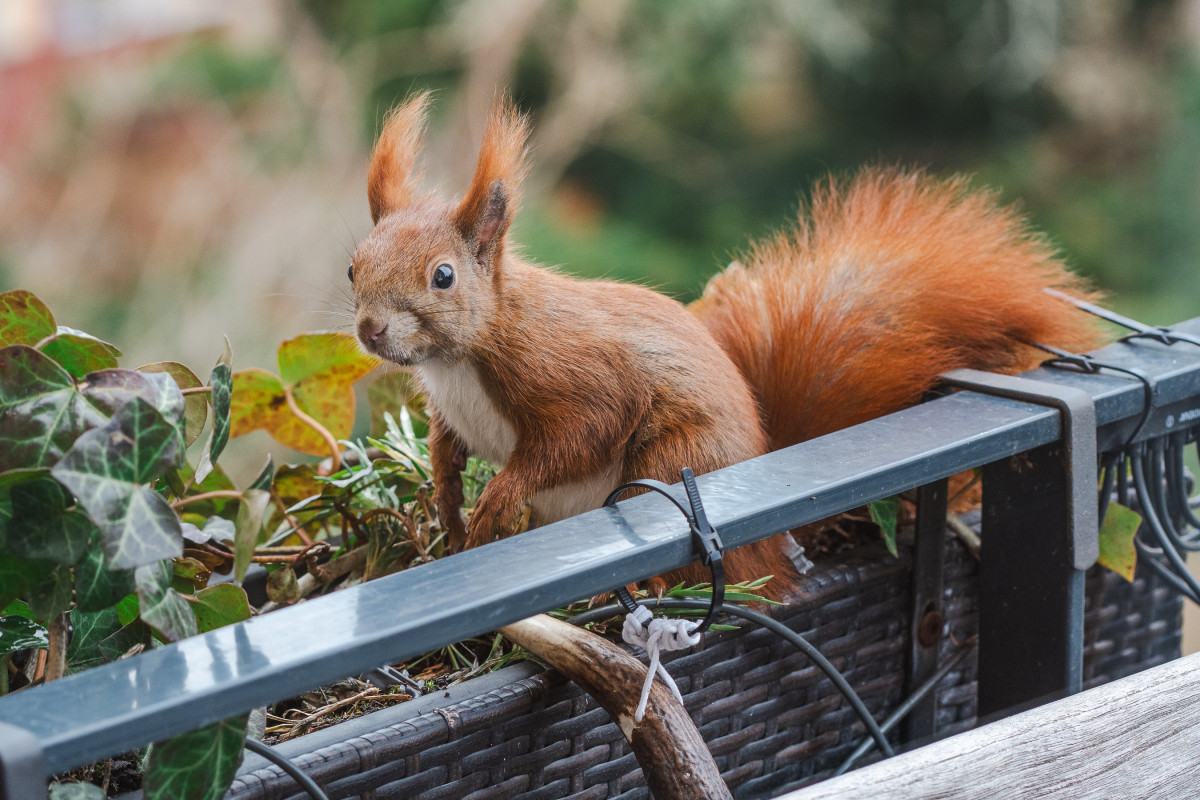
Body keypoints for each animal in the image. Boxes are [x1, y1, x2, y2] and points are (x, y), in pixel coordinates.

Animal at [348, 94, 1099, 597]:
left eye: (443, 276)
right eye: (353, 266)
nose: (370, 330)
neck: (459, 360)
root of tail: (769, 545)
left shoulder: (567, 367)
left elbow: (580, 430)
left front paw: (499, 496)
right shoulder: (452, 409)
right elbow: (446, 449)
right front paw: (448, 504)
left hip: (673, 463)